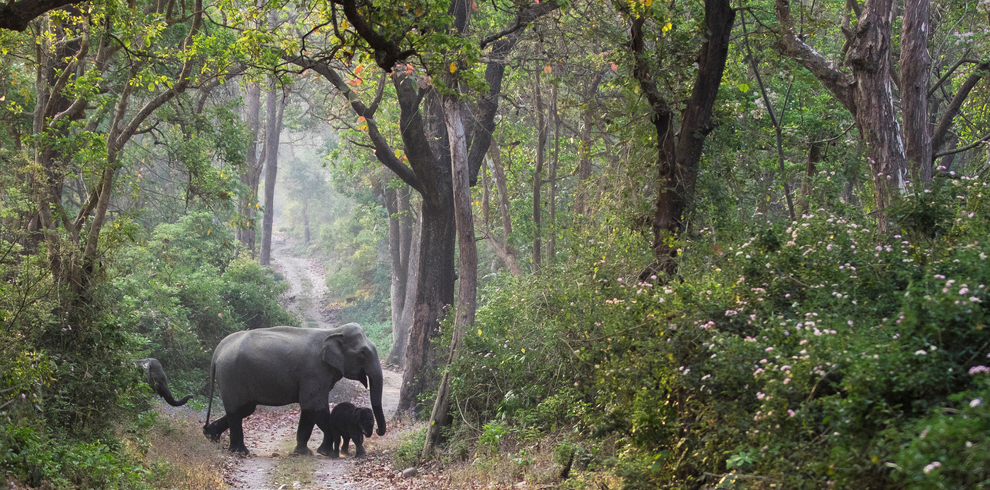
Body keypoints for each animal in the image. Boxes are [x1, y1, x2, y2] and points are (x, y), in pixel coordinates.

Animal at [202, 326, 388, 456]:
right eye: (363, 352)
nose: (377, 431)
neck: (333, 331)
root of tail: (217, 351)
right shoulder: (314, 371)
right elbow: (313, 406)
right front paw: (325, 452)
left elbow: (308, 410)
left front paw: (303, 452)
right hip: (231, 376)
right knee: (237, 411)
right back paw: (240, 451)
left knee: (244, 409)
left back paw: (210, 435)